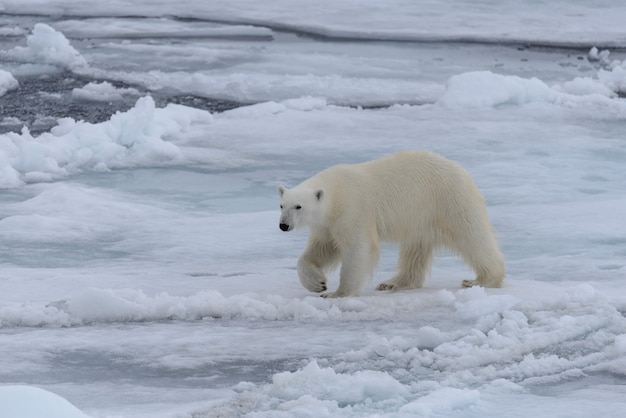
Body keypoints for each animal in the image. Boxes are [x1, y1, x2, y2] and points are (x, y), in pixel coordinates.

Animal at [276, 150, 502, 298]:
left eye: (298, 206)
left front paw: (338, 293)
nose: (283, 225)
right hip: (421, 217)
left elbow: (359, 248)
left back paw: (483, 279)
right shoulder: (328, 224)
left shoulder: (353, 210)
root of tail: (461, 170)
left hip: (448, 201)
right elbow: (322, 249)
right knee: (415, 249)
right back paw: (393, 283)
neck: (337, 191)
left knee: (472, 236)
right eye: (281, 205)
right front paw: (317, 284)